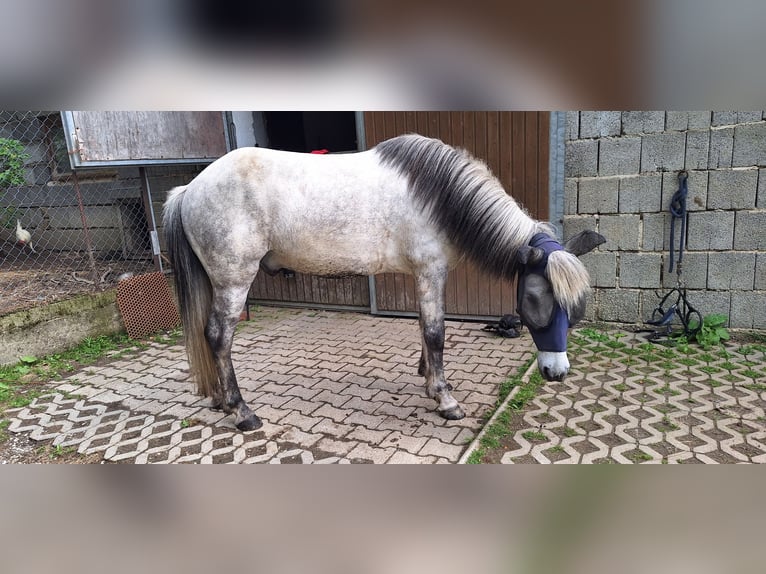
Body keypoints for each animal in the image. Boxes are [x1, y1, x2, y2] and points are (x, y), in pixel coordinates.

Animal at [163, 134, 605, 431]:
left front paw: (429, 383)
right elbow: (436, 332)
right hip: (233, 280)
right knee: (219, 336)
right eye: (535, 300)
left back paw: (219, 401)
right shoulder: (431, 270)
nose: (556, 373)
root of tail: (190, 188)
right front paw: (445, 399)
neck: (438, 194)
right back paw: (242, 412)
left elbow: (424, 330)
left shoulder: (423, 275)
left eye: (575, 309)